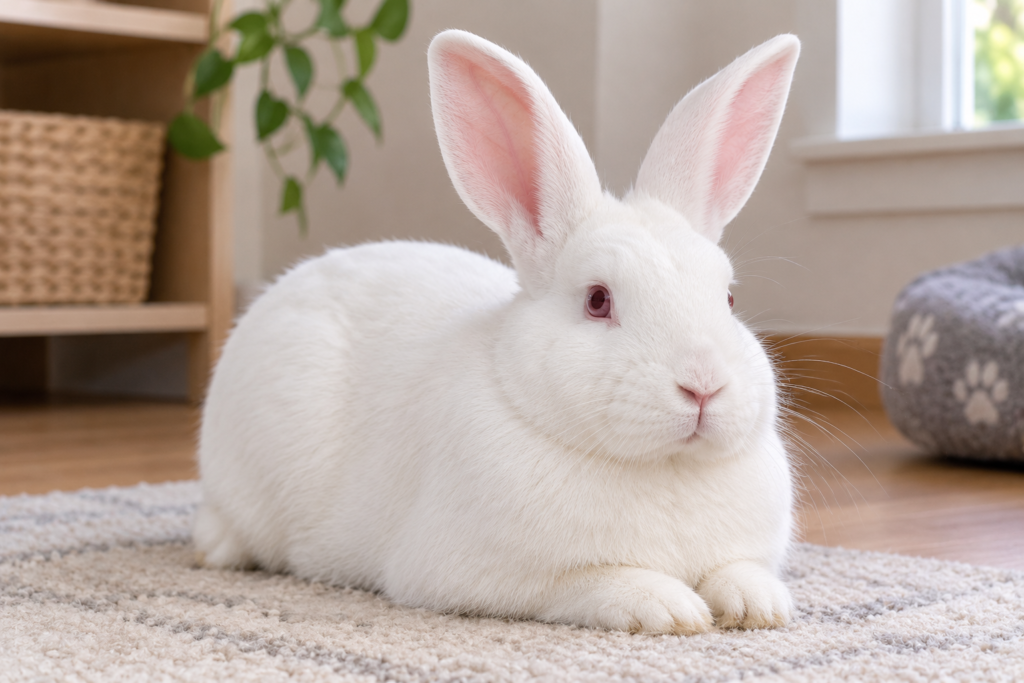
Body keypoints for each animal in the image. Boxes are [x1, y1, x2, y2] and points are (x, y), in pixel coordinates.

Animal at [195, 29, 801, 635]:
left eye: (728, 298)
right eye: (597, 300)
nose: (704, 386)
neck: (666, 468)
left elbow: (740, 570)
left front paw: (760, 606)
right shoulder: (484, 576)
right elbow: (593, 581)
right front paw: (671, 609)